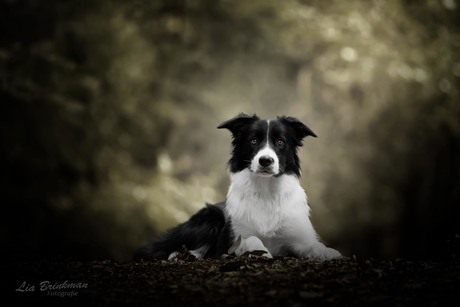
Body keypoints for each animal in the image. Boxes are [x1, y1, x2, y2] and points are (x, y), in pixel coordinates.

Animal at [134, 114, 342, 262]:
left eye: (280, 142)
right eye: (253, 141)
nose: (265, 160)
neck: (266, 192)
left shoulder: (298, 237)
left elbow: (314, 245)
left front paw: (328, 252)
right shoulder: (234, 239)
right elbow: (253, 239)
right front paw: (262, 251)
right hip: (210, 217)